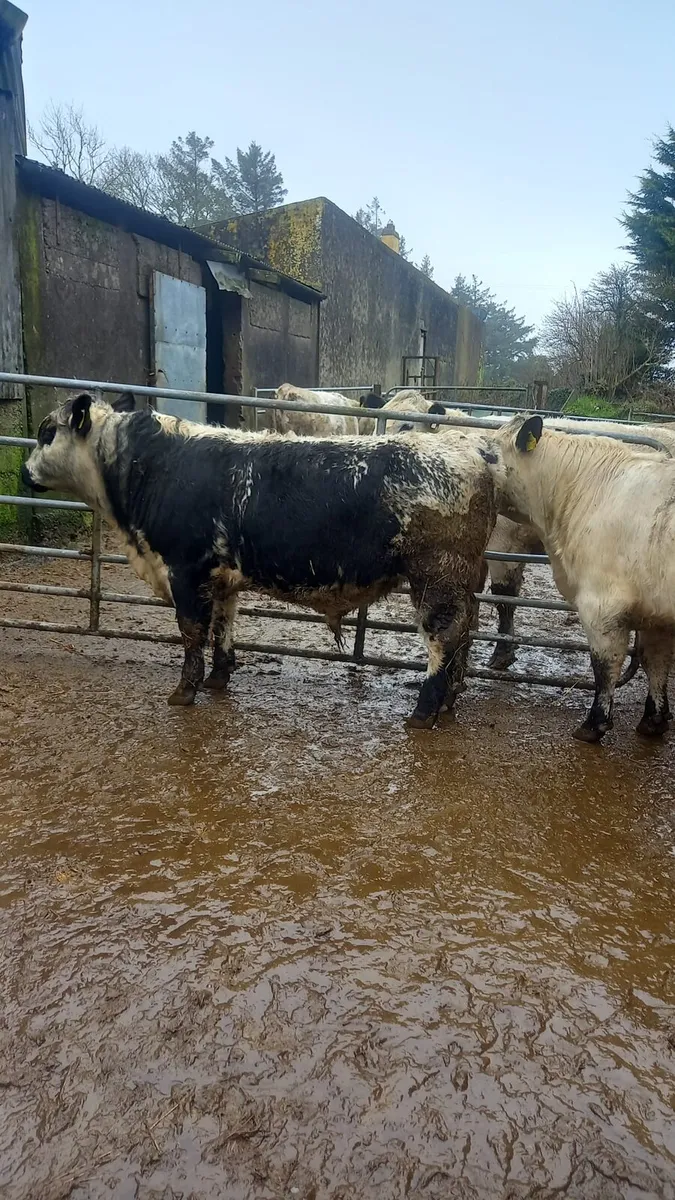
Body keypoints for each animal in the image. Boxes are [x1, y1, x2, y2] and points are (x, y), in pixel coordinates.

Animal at [22, 393, 496, 728]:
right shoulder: (220, 577)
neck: (152, 468)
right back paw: (449, 703)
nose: (23, 474)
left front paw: (185, 689)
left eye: (47, 432)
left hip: (437, 579)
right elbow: (223, 625)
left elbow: (191, 632)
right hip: (461, 583)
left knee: (443, 638)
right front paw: (219, 676)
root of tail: (472, 451)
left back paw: (424, 711)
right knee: (465, 635)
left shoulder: (184, 569)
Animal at [486, 413, 675, 743]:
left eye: (488, 455)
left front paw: (594, 723)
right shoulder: (656, 614)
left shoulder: (601, 605)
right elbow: (655, 661)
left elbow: (605, 665)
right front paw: (654, 720)